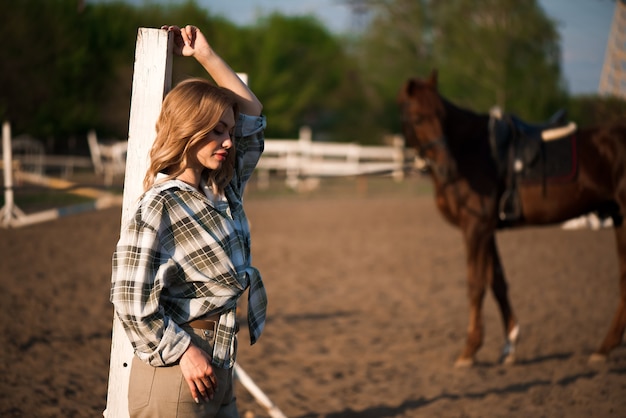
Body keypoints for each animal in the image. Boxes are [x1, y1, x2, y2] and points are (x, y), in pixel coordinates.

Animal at [398, 70, 620, 368]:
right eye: (418, 118)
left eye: (442, 116)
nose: (447, 168)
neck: (473, 151)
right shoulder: (486, 228)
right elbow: (498, 282)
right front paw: (510, 344)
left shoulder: (476, 228)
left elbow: (476, 285)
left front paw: (469, 350)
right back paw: (605, 348)